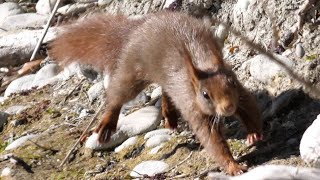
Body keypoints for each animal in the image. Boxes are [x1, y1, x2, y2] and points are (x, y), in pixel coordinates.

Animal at [48, 11, 262, 175]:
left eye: (231, 82)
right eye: (205, 95)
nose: (228, 107)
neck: (201, 64)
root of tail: (134, 29)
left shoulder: (240, 95)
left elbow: (250, 109)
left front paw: (253, 134)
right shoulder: (194, 108)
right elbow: (213, 141)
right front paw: (233, 166)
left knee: (165, 90)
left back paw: (170, 115)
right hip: (133, 70)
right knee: (118, 95)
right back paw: (108, 124)